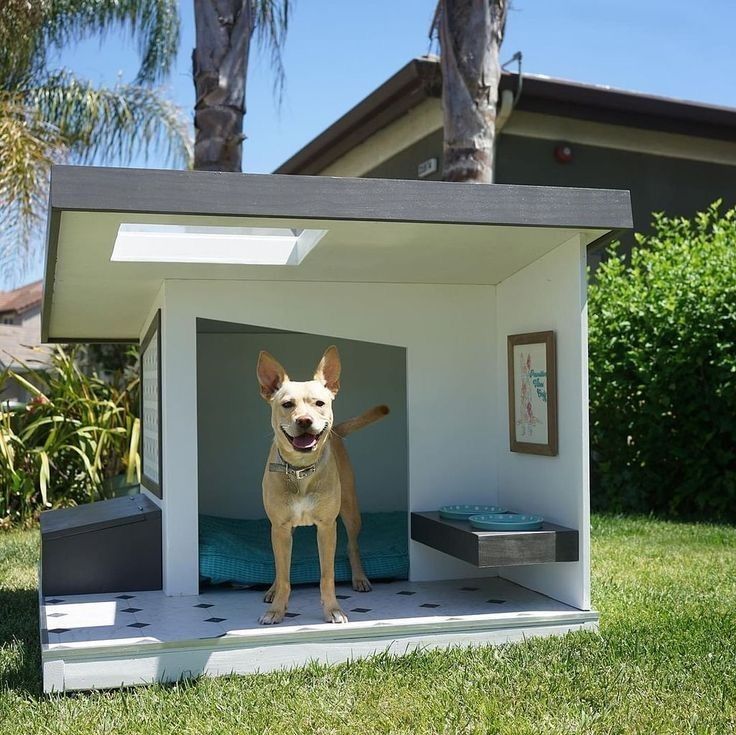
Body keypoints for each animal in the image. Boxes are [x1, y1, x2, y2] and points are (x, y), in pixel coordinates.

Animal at [256, 348, 388, 624]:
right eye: (287, 404)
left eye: (320, 403)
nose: (305, 421)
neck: (300, 470)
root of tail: (336, 430)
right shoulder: (280, 527)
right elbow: (284, 575)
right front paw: (277, 609)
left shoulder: (327, 528)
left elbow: (327, 576)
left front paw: (333, 610)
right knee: (280, 568)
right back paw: (272, 590)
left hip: (350, 510)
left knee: (352, 546)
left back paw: (360, 578)